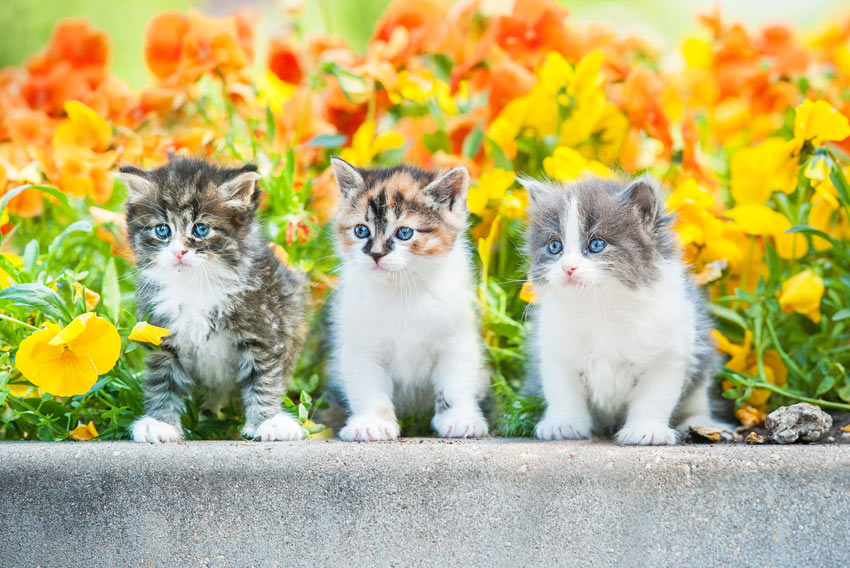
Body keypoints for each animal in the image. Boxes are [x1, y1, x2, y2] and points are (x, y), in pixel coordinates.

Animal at [117, 156, 306, 444]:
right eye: (162, 230)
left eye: (201, 229)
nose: (178, 252)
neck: (196, 286)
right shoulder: (161, 334)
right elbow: (162, 378)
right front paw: (160, 422)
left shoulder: (264, 328)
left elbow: (263, 377)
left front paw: (268, 421)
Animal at [326, 158, 484, 442]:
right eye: (361, 230)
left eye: (404, 233)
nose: (376, 254)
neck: (401, 291)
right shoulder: (359, 345)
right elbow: (368, 386)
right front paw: (372, 423)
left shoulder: (458, 339)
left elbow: (456, 382)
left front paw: (459, 418)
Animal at [520, 175, 720, 446]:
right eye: (554, 247)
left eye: (596, 245)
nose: (568, 268)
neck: (601, 306)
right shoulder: (556, 351)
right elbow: (563, 391)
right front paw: (564, 424)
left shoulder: (669, 352)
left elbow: (655, 396)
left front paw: (646, 430)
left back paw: (700, 424)